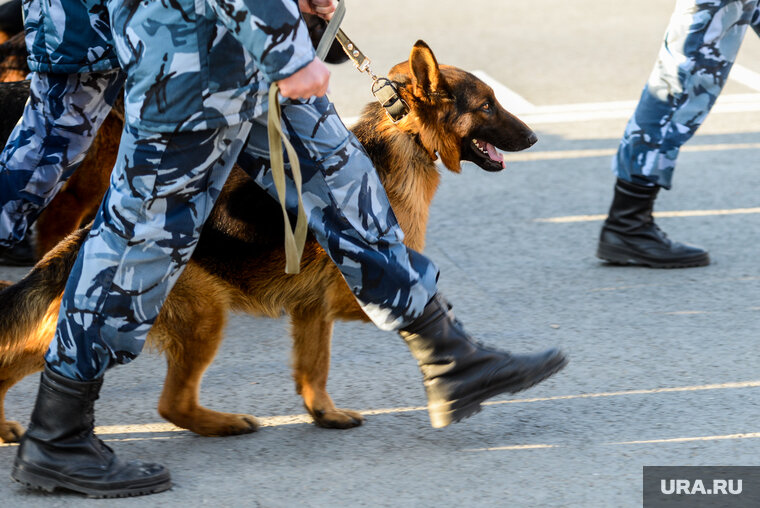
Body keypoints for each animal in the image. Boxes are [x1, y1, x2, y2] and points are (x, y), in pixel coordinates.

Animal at [0, 41, 536, 442]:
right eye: (487, 105)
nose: (532, 138)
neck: (405, 138)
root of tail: (88, 239)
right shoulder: (358, 291)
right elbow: (415, 303)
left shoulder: (313, 307)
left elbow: (313, 368)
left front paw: (324, 413)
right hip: (200, 314)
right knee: (171, 402)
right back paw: (221, 424)